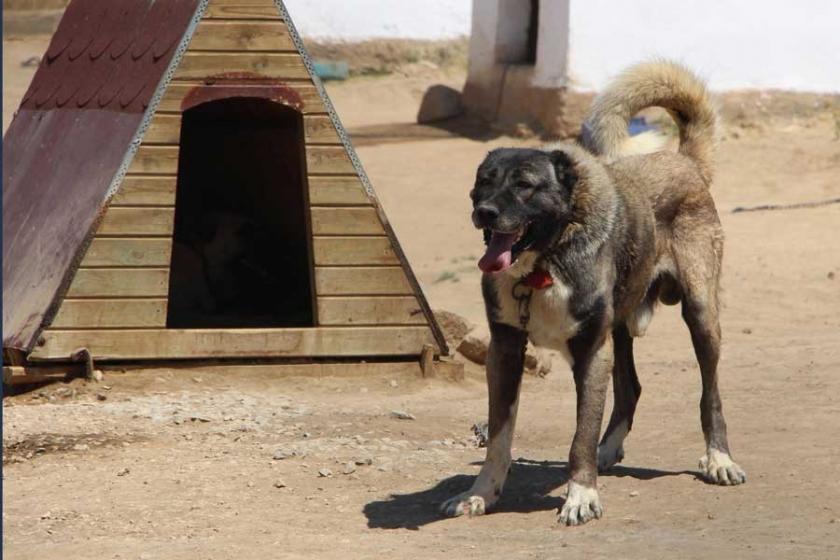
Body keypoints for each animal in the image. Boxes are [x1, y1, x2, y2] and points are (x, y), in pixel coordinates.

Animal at [442, 60, 744, 524]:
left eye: (525, 185)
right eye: (483, 182)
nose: (484, 212)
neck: (543, 266)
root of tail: (681, 160)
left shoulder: (590, 352)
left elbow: (579, 436)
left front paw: (581, 496)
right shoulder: (505, 351)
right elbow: (498, 436)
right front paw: (480, 494)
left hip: (700, 314)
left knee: (710, 395)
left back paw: (719, 460)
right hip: (619, 327)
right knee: (630, 388)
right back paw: (609, 449)